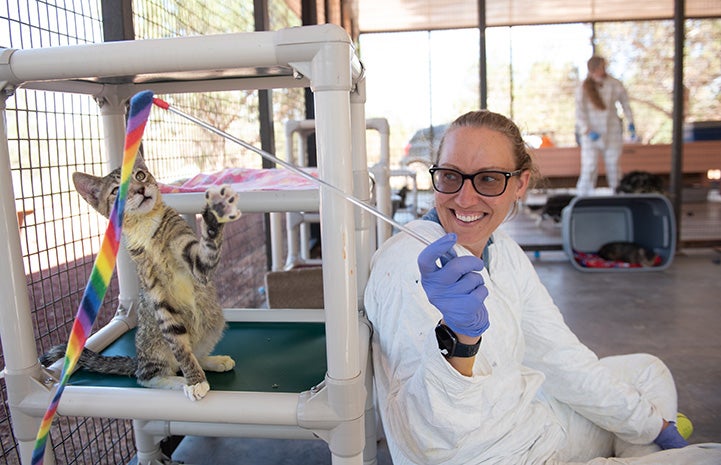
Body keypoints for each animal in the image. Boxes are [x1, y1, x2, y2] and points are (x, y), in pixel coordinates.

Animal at [41, 158, 239, 400]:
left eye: (140, 176)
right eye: (116, 191)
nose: (140, 189)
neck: (146, 226)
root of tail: (138, 359)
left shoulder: (197, 265)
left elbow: (205, 253)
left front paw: (215, 212)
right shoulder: (156, 294)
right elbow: (179, 346)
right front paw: (195, 381)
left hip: (214, 323)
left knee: (195, 354)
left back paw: (213, 361)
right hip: (156, 347)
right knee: (147, 376)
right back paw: (180, 379)